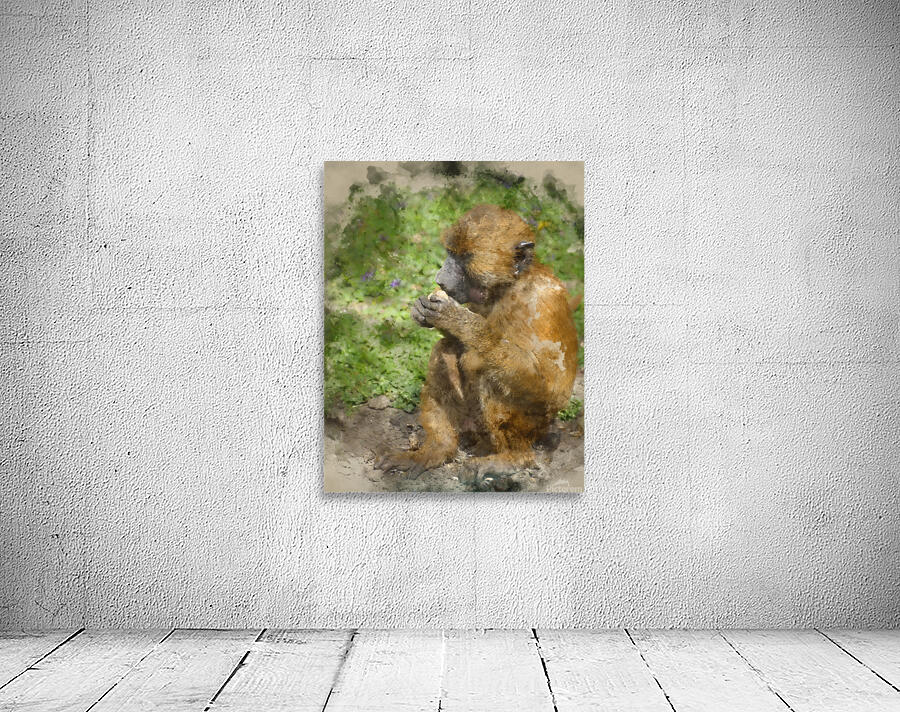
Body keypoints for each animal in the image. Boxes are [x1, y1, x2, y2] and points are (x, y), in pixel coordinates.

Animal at [375, 204, 579, 482]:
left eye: (464, 259)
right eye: (450, 254)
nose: (440, 278)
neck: (508, 287)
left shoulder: (542, 300)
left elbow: (550, 385)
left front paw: (458, 320)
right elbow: (453, 343)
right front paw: (424, 312)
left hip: (533, 429)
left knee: (490, 373)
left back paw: (513, 459)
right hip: (471, 426)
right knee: (445, 350)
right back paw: (437, 449)